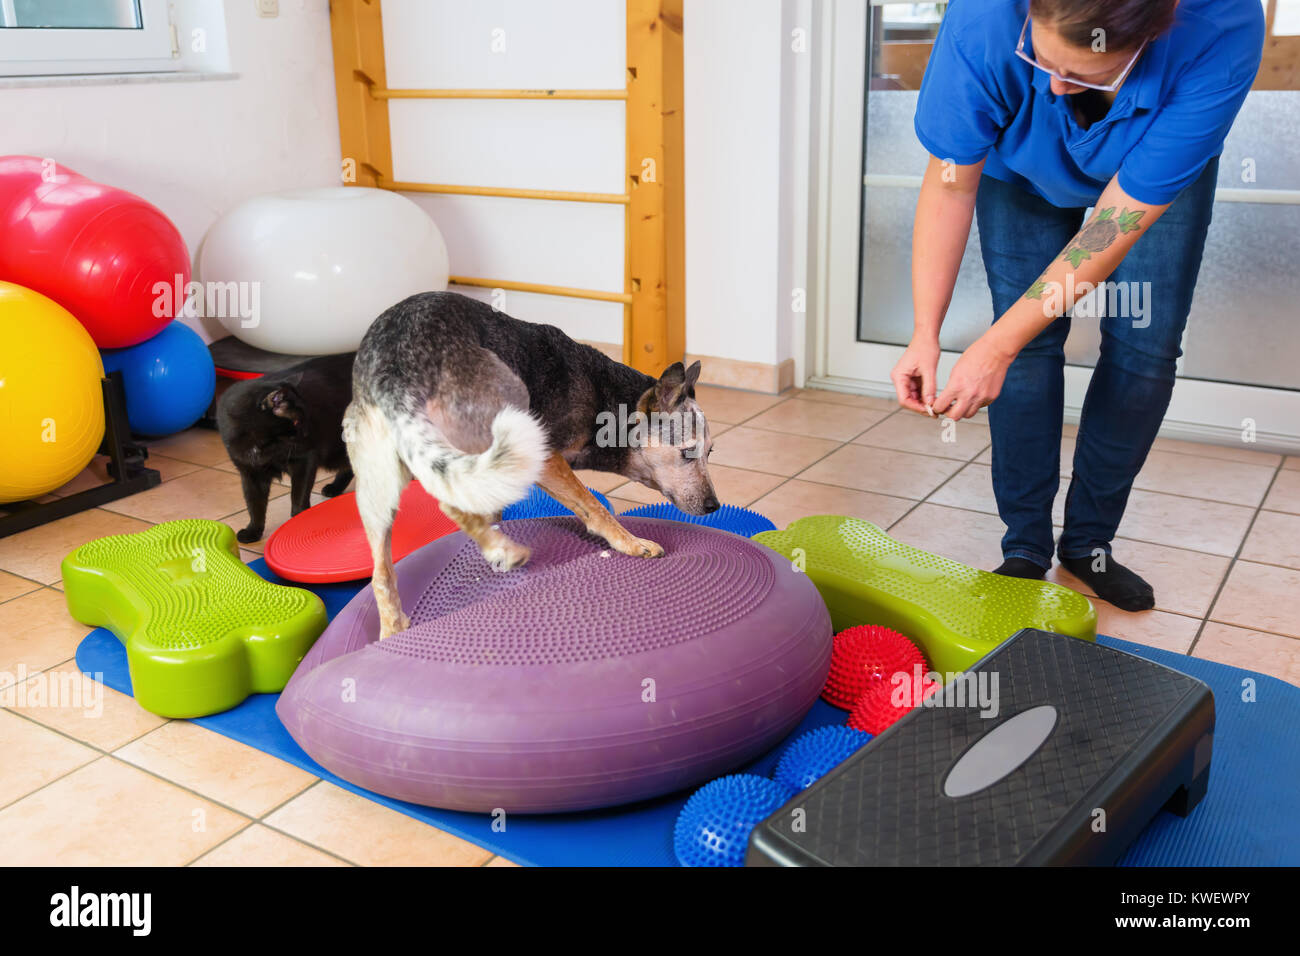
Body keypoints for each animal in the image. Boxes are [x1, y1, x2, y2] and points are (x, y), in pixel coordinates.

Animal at [215, 353, 356, 546]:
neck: (265, 446)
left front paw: (300, 521)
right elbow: (254, 505)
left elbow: (298, 495)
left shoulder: (304, 460)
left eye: (307, 416)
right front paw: (253, 531)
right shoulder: (250, 473)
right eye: (297, 421)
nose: (307, 432)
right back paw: (334, 488)